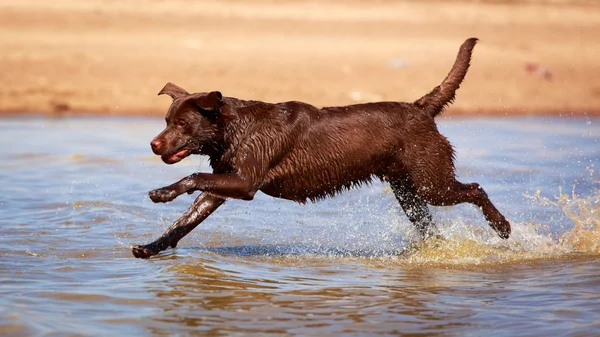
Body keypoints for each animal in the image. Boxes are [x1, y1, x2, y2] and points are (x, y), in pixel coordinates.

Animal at [132, 37, 510, 258]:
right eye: (166, 120)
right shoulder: (223, 184)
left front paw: (162, 193)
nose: (153, 143)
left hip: (431, 181)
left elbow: (194, 177)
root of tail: (420, 108)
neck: (234, 129)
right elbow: (186, 220)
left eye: (182, 124)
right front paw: (151, 247)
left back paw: (502, 227)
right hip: (408, 191)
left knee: (475, 189)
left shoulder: (245, 182)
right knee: (429, 224)